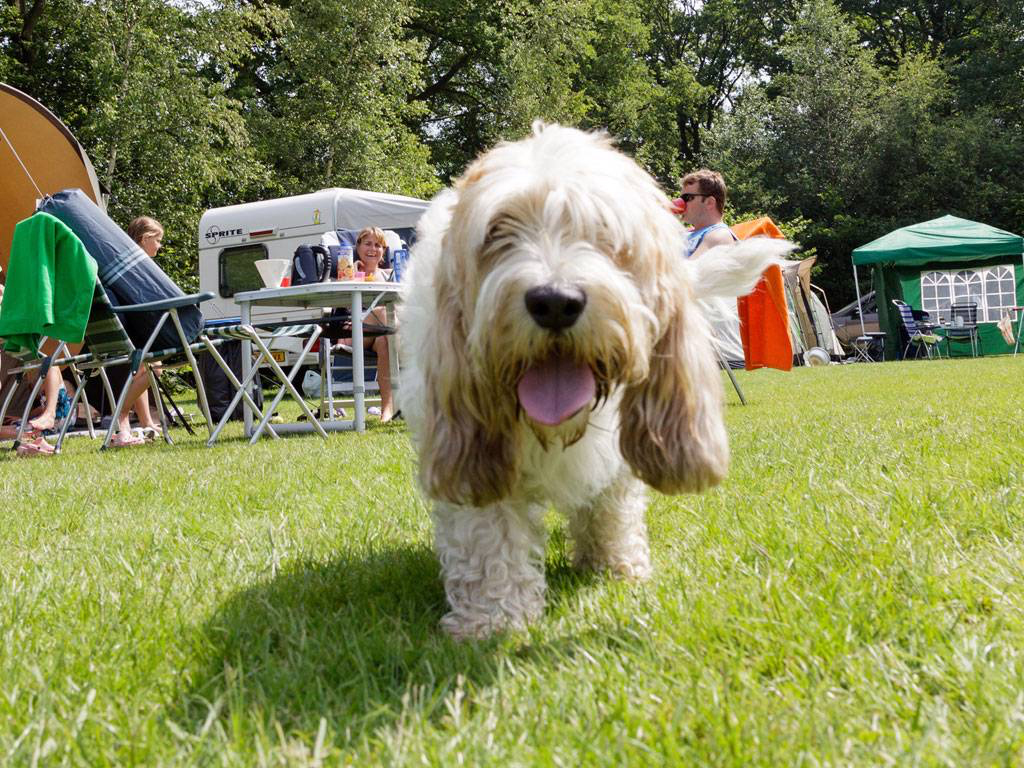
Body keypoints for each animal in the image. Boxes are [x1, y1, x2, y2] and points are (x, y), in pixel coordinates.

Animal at [399, 123, 790, 638]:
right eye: (499, 231)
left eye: (605, 231)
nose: (554, 301)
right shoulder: (471, 445)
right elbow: (489, 538)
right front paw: (494, 618)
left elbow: (613, 506)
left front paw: (614, 566)